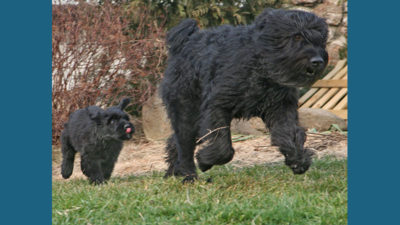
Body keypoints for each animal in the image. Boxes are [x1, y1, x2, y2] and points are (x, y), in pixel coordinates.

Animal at [159, 8, 328, 183]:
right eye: (297, 36)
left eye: (320, 39)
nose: (317, 61)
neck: (259, 65)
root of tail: (184, 43)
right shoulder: (217, 105)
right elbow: (222, 146)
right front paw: (205, 161)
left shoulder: (281, 107)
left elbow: (289, 134)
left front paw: (297, 160)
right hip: (186, 110)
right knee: (184, 144)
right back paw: (188, 175)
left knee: (176, 141)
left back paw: (174, 171)